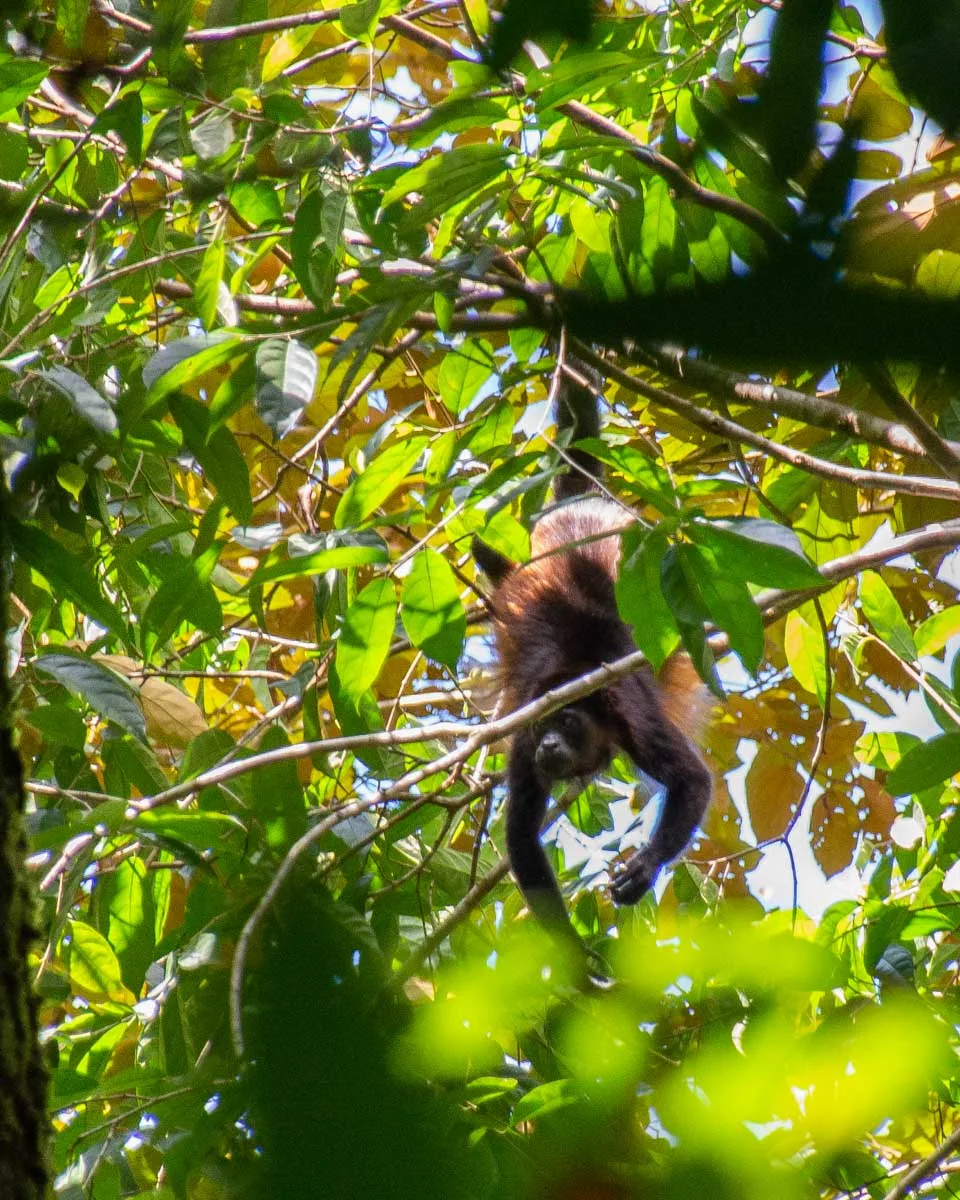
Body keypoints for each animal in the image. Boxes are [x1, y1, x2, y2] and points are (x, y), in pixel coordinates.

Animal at [472, 360, 710, 950]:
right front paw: (578, 964)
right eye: (545, 725)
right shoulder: (524, 734)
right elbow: (521, 836)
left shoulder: (632, 712)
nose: (550, 743)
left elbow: (693, 779)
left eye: (569, 722)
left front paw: (645, 866)